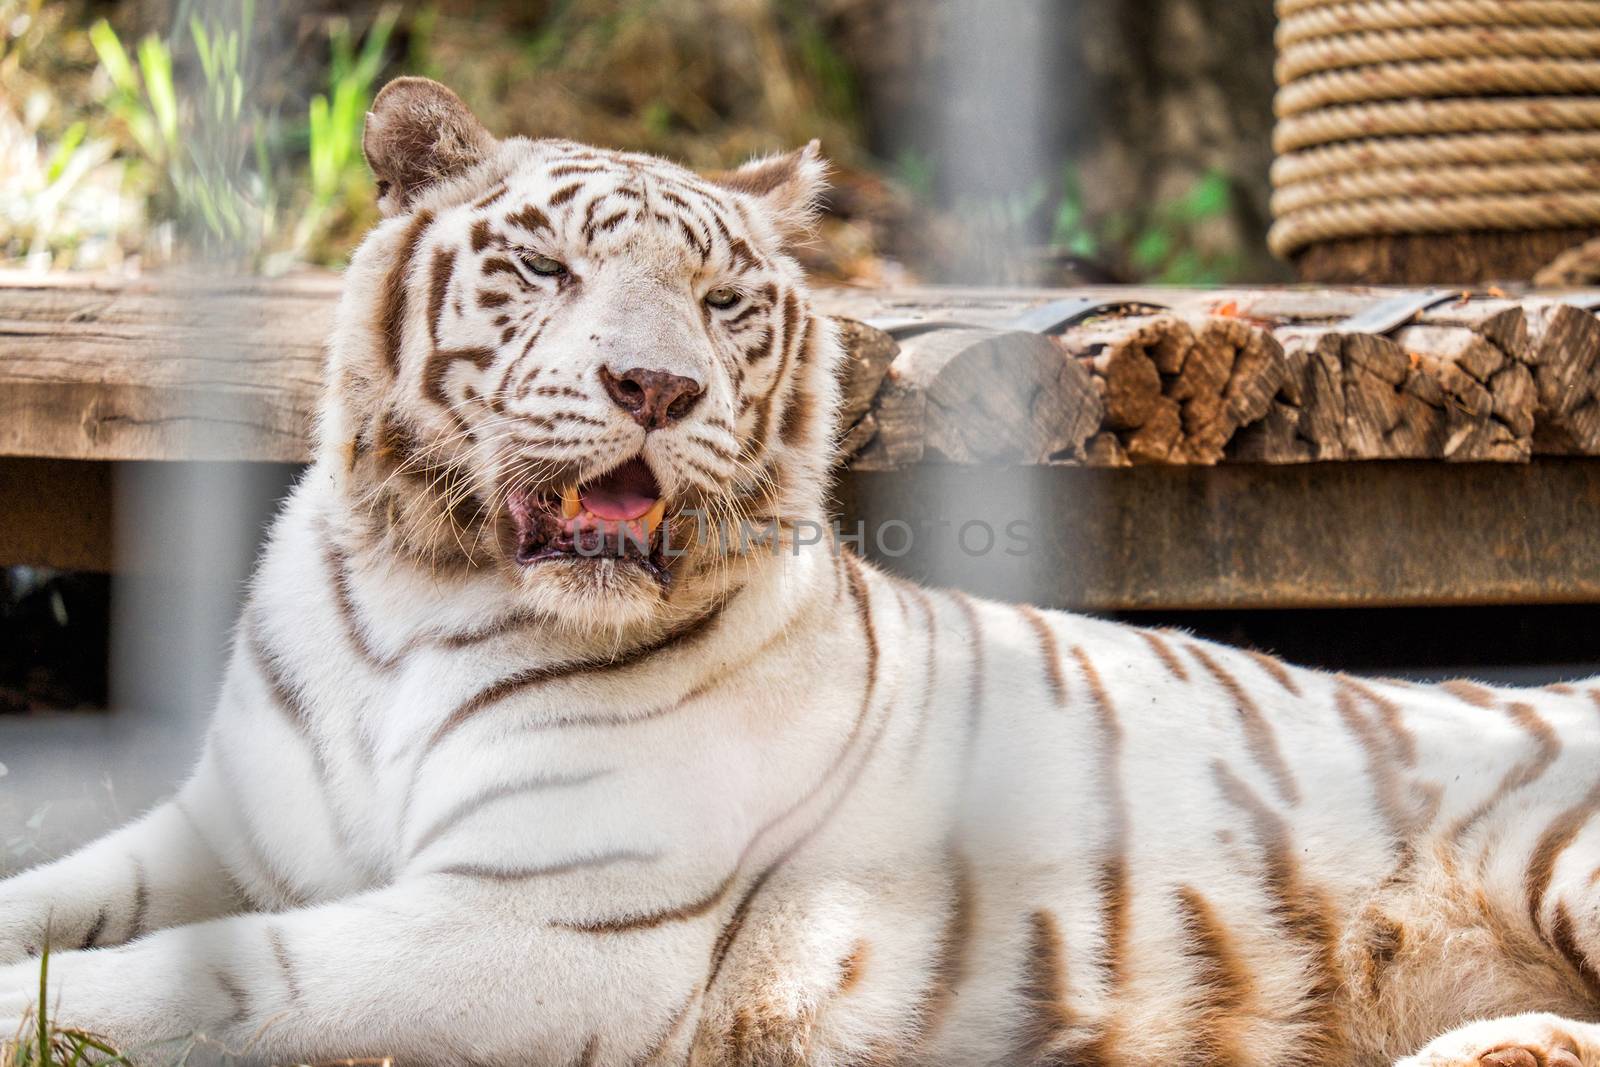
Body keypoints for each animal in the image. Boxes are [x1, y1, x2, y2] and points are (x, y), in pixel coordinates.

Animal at [3, 77, 1600, 1067]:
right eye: (547, 270)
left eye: (720, 301)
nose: (655, 385)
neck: (416, 595)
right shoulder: (221, 829)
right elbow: (60, 892)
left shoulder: (542, 921)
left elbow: (211, 971)